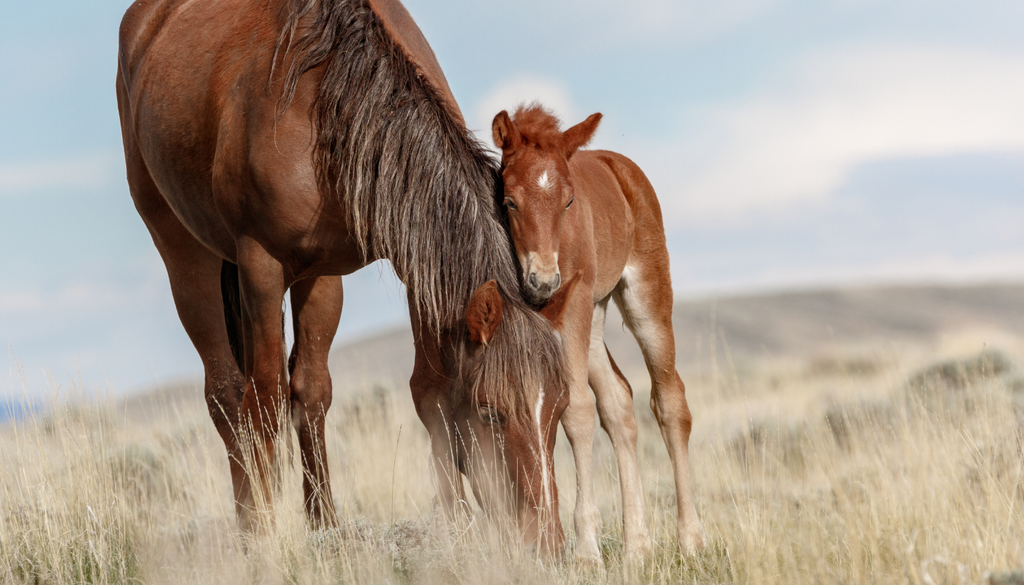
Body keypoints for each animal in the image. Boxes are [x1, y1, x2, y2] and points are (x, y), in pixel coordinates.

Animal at [116, 0, 569, 553]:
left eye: (559, 411)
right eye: (490, 413)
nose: (548, 543)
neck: (332, 100)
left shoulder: (374, 264)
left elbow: (418, 392)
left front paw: (343, 527)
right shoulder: (260, 264)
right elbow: (264, 396)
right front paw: (267, 535)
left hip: (314, 279)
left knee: (304, 390)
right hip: (185, 254)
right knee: (226, 393)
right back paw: (249, 525)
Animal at [491, 105, 706, 560]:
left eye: (569, 201)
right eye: (509, 201)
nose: (543, 281)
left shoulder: (573, 299)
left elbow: (576, 411)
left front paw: (586, 547)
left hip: (643, 297)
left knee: (669, 400)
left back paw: (690, 539)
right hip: (594, 314)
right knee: (618, 401)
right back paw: (636, 546)